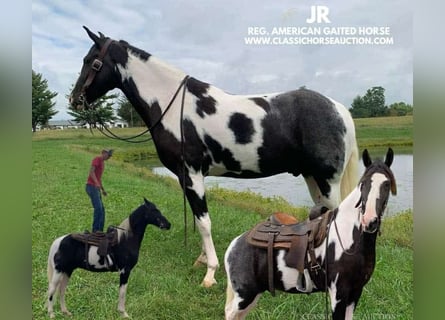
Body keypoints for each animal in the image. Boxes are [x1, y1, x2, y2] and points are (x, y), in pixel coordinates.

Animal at [69, 26, 360, 288]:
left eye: (91, 61)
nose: (75, 99)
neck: (172, 106)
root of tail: (339, 109)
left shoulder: (193, 174)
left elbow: (204, 222)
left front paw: (210, 272)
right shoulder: (188, 177)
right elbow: (199, 220)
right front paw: (201, 259)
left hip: (326, 181)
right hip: (313, 178)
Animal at [225, 149, 396, 318]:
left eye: (387, 184)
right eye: (362, 184)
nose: (369, 220)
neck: (348, 237)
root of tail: (235, 244)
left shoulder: (355, 292)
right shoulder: (339, 294)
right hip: (245, 296)